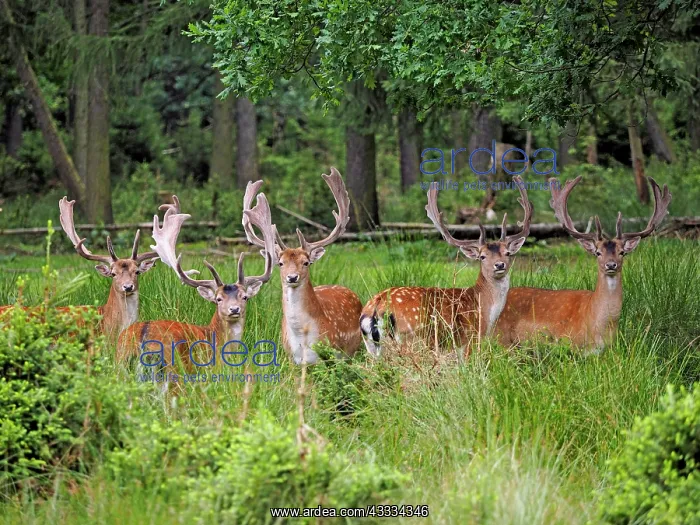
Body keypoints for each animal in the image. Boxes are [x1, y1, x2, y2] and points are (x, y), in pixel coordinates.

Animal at [241, 168, 363, 365]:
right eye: (281, 263)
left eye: (306, 262)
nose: (292, 277)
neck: (303, 340)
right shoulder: (290, 359)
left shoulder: (330, 356)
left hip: (353, 350)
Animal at [360, 176, 533, 358]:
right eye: (482, 256)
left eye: (507, 253)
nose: (499, 265)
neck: (484, 308)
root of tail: (375, 308)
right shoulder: (470, 341)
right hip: (410, 338)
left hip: (372, 347)